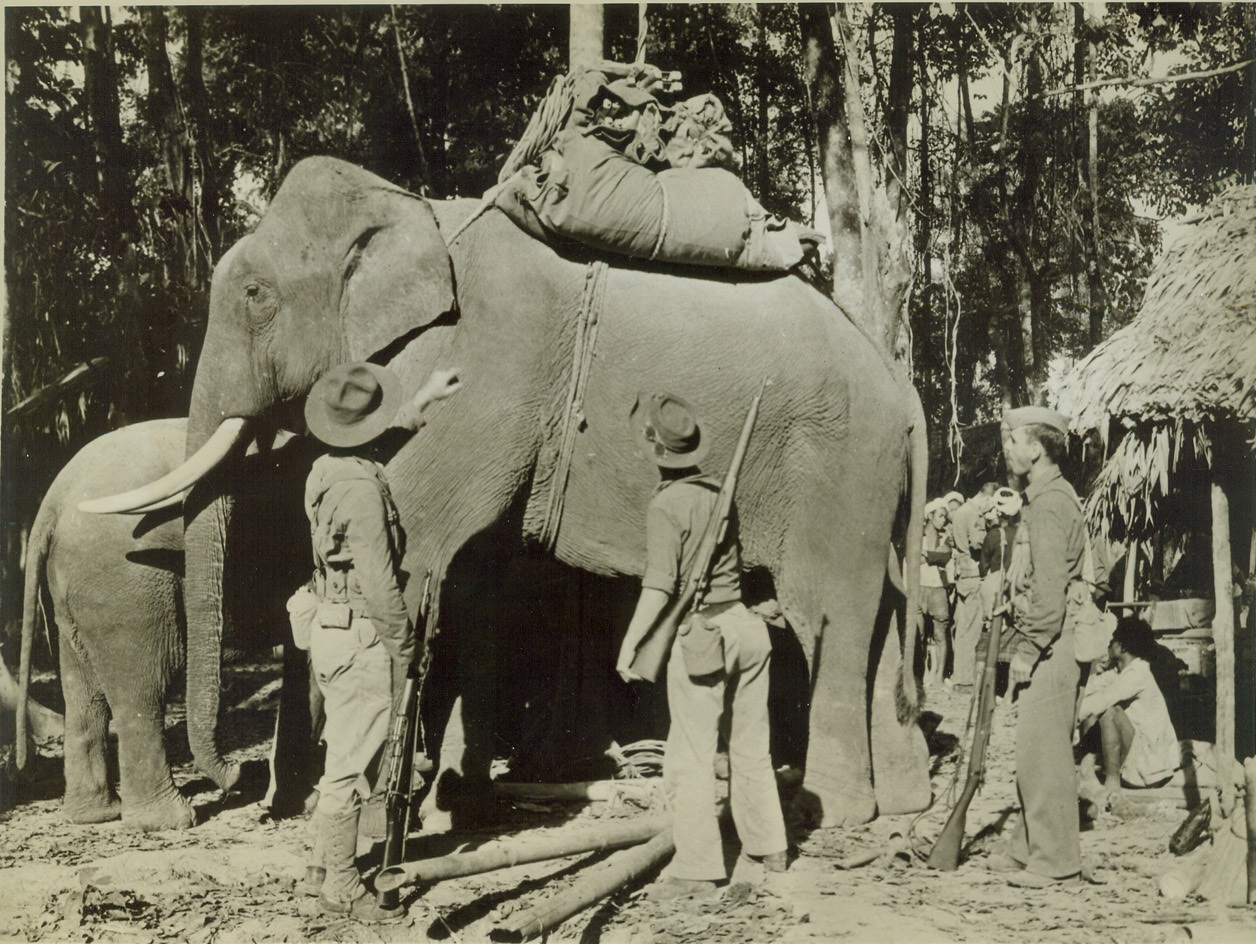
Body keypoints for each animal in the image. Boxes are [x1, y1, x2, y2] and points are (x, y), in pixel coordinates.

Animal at [19, 419, 319, 823]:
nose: (243, 772)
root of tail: (53, 502)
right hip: (127, 586)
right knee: (144, 686)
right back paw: (170, 821)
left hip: (69, 594)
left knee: (83, 690)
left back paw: (97, 814)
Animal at [91, 158, 934, 828]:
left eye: (256, 293)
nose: (235, 780)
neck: (418, 213)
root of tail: (903, 390)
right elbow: (468, 587)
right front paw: (450, 804)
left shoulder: (486, 377)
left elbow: (413, 558)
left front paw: (397, 815)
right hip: (868, 483)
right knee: (884, 616)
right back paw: (903, 804)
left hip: (833, 464)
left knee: (828, 613)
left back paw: (835, 813)